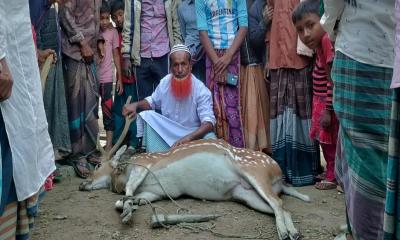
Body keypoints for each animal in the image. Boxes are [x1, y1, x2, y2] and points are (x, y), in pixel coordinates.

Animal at [80, 136, 310, 239]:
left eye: (98, 165)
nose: (83, 184)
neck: (123, 171)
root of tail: (278, 175)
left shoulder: (145, 165)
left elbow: (127, 190)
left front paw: (127, 213)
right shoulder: (155, 192)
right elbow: (132, 198)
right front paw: (131, 206)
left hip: (255, 172)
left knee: (277, 202)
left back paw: (284, 232)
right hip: (245, 194)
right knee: (281, 206)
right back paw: (293, 232)